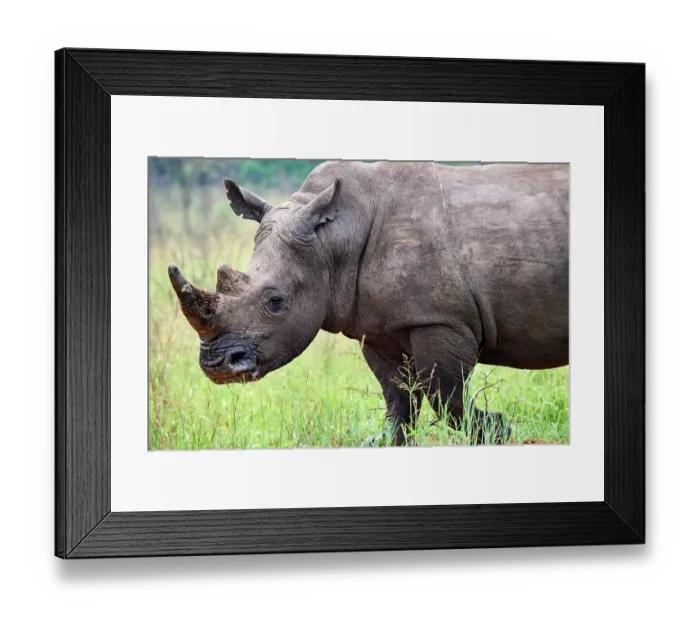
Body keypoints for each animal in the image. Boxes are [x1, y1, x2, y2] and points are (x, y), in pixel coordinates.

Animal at [168, 160, 569, 446]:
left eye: (276, 302)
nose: (217, 366)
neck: (333, 238)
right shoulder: (379, 328)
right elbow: (397, 395)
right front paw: (382, 442)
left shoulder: (440, 319)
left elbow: (445, 393)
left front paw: (498, 430)